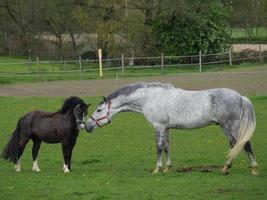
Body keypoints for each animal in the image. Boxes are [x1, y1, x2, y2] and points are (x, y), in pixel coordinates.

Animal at [86, 82, 260, 174]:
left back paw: (253, 168)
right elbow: (166, 147)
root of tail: (240, 97)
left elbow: (158, 147)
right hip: (225, 128)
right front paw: (167, 168)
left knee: (245, 144)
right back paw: (225, 168)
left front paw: (157, 169)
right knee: (234, 145)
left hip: (232, 126)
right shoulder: (166, 128)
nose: (86, 126)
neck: (149, 98)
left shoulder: (158, 127)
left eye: (99, 110)